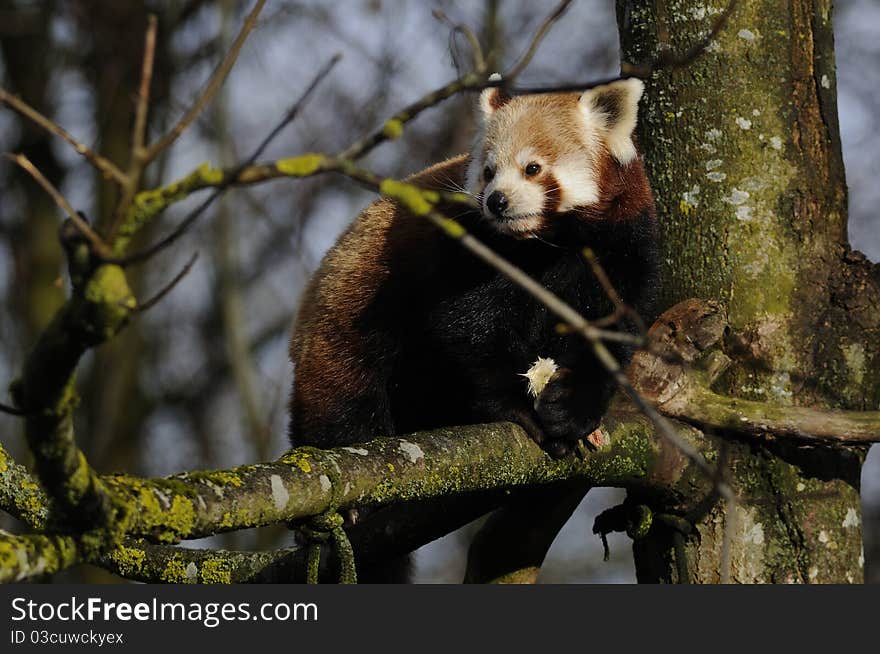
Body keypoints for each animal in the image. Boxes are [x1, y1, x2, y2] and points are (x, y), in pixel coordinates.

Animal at [290, 78, 660, 584]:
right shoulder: (469, 252)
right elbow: (464, 327)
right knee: (345, 393)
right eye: (487, 171)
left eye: (531, 167)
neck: (551, 243)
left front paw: (576, 411)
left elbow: (606, 338)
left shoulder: (620, 247)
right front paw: (515, 406)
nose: (496, 201)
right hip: (347, 318)